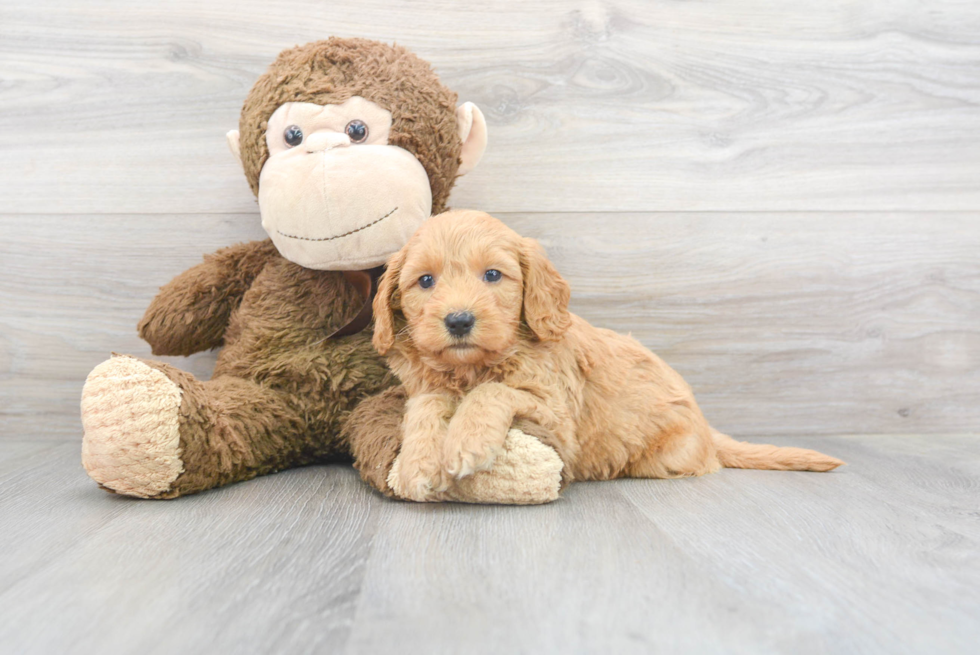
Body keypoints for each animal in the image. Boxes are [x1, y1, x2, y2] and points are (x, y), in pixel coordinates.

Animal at [372, 210, 840, 502]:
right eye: (425, 281)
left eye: (492, 275)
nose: (459, 321)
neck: (471, 367)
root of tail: (708, 430)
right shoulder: (429, 385)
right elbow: (426, 406)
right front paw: (416, 463)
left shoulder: (558, 419)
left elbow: (493, 392)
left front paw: (466, 441)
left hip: (665, 458)